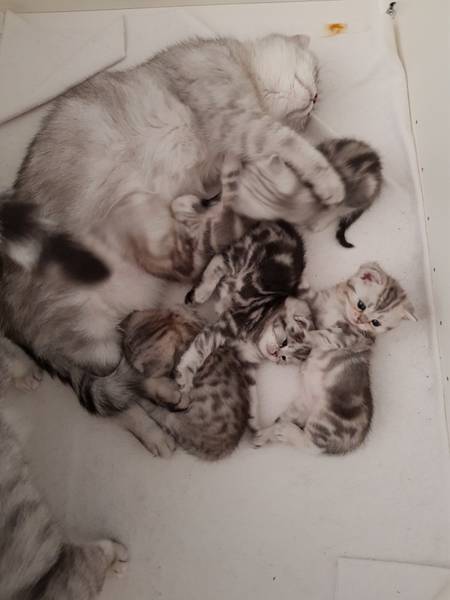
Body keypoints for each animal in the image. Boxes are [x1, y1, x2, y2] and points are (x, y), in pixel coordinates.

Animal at [121, 300, 313, 460]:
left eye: (284, 356)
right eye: (283, 341)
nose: (275, 354)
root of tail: (222, 449)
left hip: (183, 421)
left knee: (164, 415)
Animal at [174, 220, 311, 403]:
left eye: (283, 359)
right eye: (284, 342)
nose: (276, 354)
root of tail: (283, 225)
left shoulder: (248, 364)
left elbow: (252, 400)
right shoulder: (230, 323)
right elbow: (201, 347)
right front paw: (186, 373)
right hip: (245, 256)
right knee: (220, 259)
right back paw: (202, 292)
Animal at [253, 262, 417, 454]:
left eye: (375, 323)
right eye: (361, 305)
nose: (359, 320)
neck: (340, 307)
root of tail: (353, 443)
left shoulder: (346, 336)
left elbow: (321, 334)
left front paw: (302, 335)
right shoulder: (318, 300)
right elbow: (306, 291)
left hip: (324, 422)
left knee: (312, 445)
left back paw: (286, 432)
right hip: (302, 405)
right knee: (282, 420)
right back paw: (265, 434)